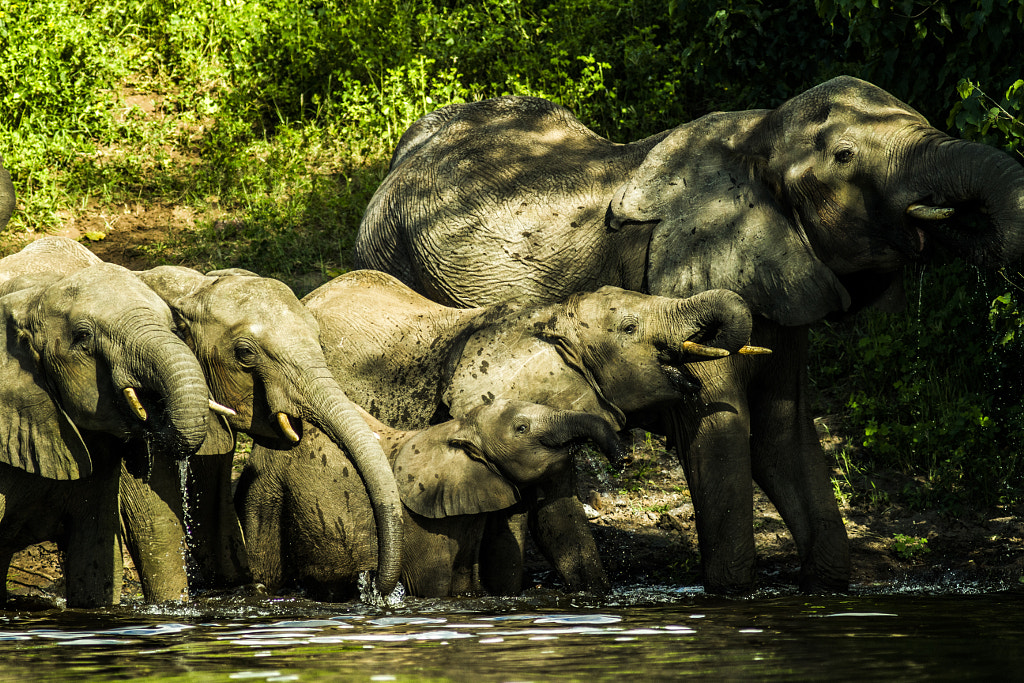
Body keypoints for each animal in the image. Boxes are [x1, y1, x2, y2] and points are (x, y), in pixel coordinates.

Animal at [237, 397, 622, 602]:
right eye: (522, 429)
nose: (621, 459)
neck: (458, 427)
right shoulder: (420, 524)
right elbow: (431, 586)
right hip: (268, 485)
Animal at [356, 76, 1024, 593]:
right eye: (843, 157)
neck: (754, 138)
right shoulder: (685, 267)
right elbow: (721, 430)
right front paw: (731, 595)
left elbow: (784, 432)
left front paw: (827, 588)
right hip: (398, 270)